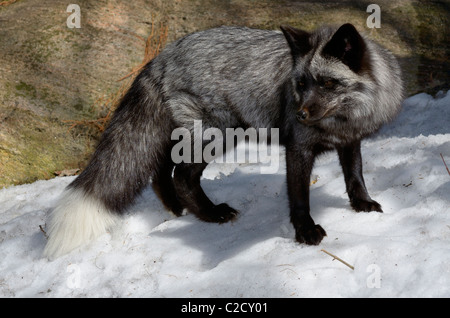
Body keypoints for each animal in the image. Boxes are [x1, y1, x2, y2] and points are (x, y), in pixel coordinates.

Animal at [44, 23, 404, 260]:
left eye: (328, 83)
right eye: (301, 83)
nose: (299, 114)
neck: (343, 119)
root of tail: (160, 56)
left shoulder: (351, 140)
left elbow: (355, 175)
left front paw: (362, 204)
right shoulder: (298, 148)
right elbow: (300, 197)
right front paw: (305, 232)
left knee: (161, 169)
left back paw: (176, 208)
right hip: (218, 133)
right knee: (182, 175)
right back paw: (210, 213)